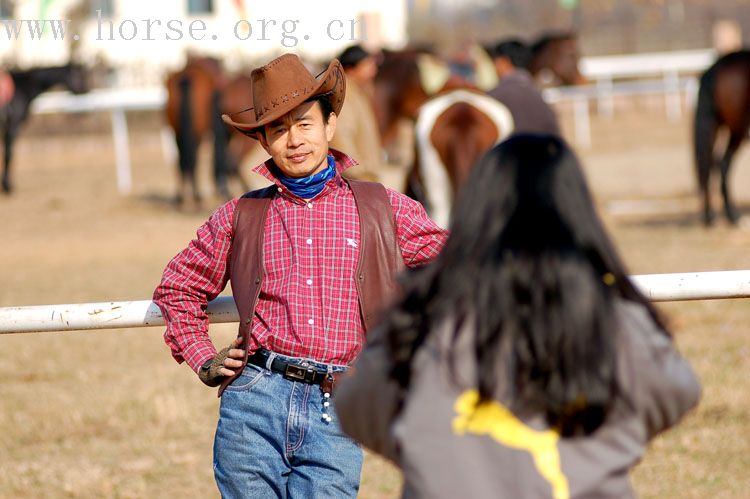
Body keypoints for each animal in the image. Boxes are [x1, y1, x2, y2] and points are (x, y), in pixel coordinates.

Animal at [2, 63, 88, 195]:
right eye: (79, 76)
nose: (86, 91)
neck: (23, 86)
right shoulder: (13, 126)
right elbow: (8, 154)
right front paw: (7, 187)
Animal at [692, 49, 750, 227]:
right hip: (737, 129)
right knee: (722, 164)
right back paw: (733, 216)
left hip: (715, 124)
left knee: (710, 163)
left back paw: (709, 216)